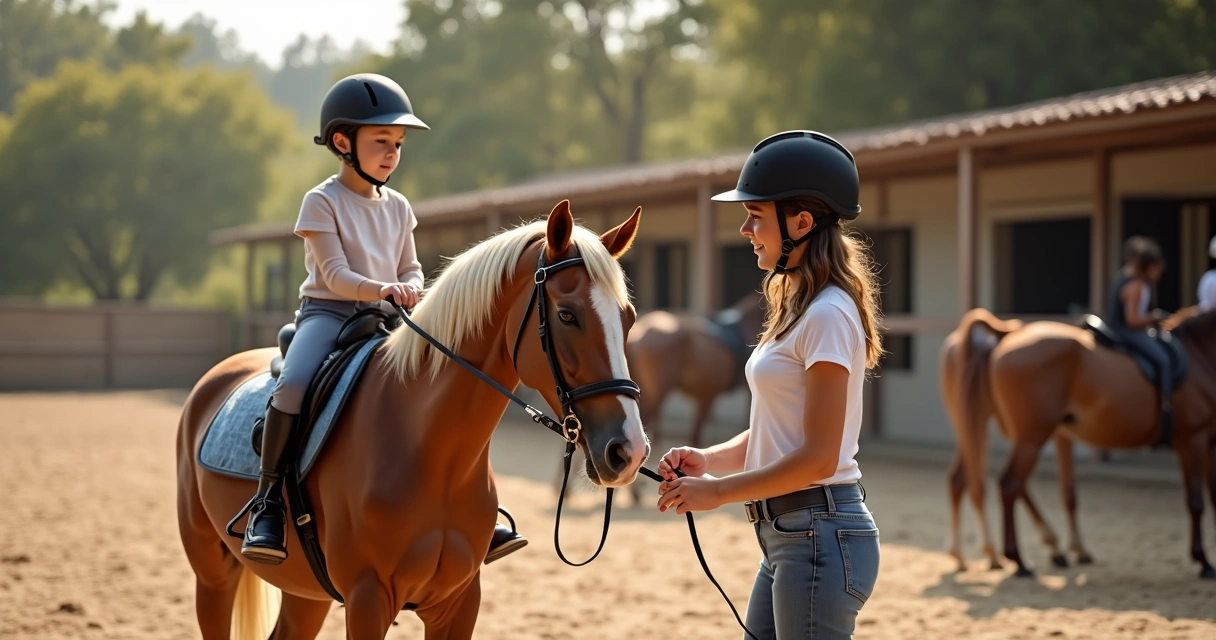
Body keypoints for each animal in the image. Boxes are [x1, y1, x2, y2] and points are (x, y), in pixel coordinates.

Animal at [176, 200, 649, 639]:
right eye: (568, 314)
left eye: (628, 319)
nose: (629, 451)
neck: (430, 451)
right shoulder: (367, 599)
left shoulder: (458, 602)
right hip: (212, 574)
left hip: (305, 593)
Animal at [941, 309, 1094, 572]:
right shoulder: (1050, 431)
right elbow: (1067, 490)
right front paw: (1076, 548)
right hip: (1004, 428)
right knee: (1005, 481)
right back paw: (1009, 555)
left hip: (973, 422)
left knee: (963, 479)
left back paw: (968, 554)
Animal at [961, 306, 1216, 578]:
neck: (1200, 355)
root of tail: (1010, 336)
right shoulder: (1193, 439)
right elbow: (1196, 502)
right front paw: (1203, 560)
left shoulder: (1210, 442)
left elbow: (1213, 497)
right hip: (1032, 436)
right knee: (1010, 484)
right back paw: (1020, 560)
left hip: (1028, 435)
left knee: (1017, 485)